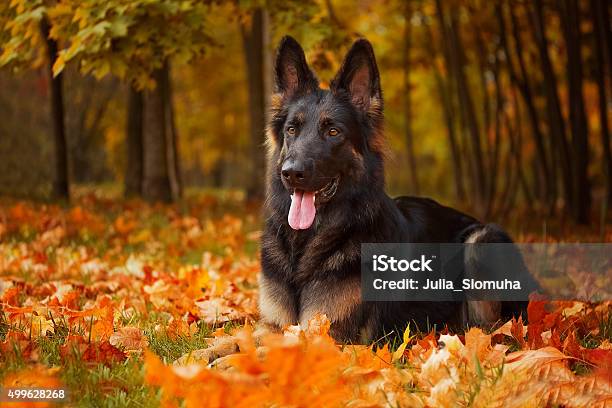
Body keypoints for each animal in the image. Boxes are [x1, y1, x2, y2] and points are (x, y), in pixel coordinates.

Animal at [258, 35, 536, 344]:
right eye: (291, 130)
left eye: (333, 132)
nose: (292, 173)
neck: (304, 245)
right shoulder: (270, 326)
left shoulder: (330, 335)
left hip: (481, 240)